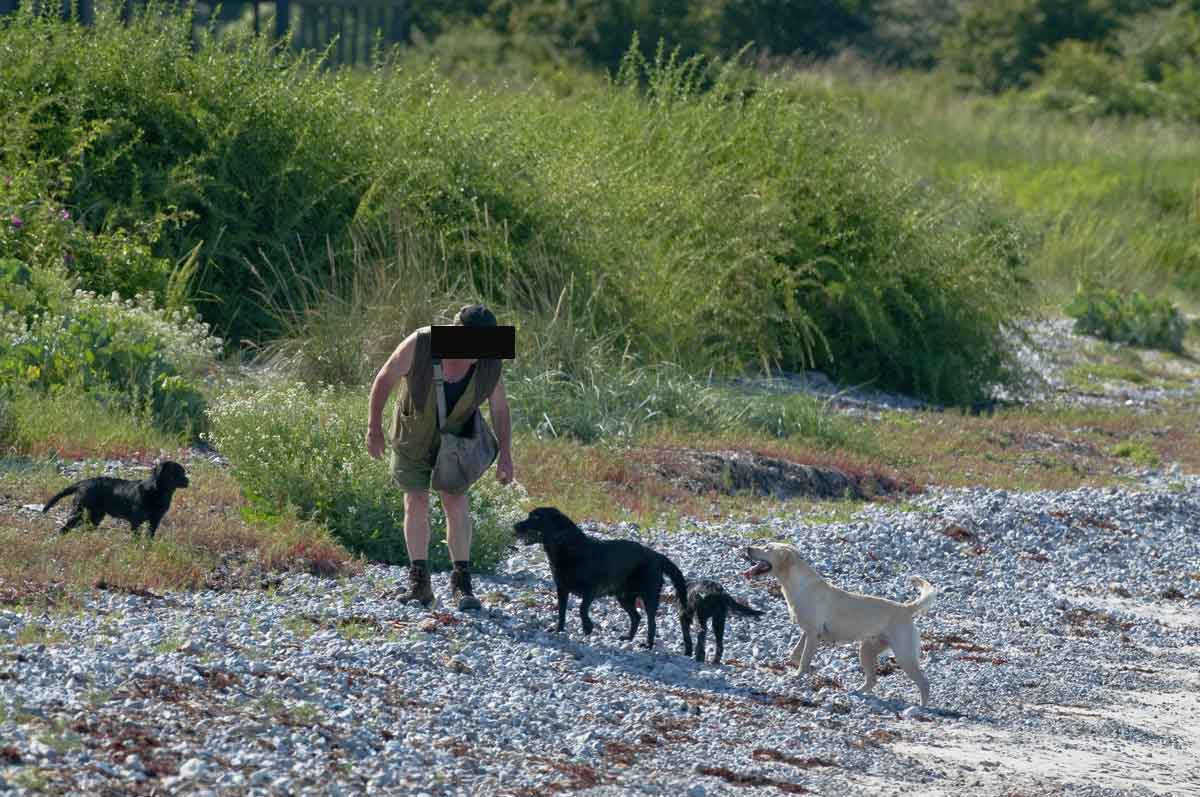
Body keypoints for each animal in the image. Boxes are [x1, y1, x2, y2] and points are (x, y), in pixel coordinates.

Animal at [41, 458, 189, 537]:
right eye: (177, 472)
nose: (188, 480)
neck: (158, 492)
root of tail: (82, 483)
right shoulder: (136, 520)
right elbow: (136, 536)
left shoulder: (155, 520)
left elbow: (149, 536)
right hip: (79, 511)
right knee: (64, 528)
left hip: (95, 516)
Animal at [511, 506, 691, 652]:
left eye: (536, 517)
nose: (515, 525)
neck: (566, 547)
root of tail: (657, 555)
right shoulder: (561, 589)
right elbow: (562, 612)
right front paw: (558, 630)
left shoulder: (590, 590)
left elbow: (582, 608)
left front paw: (587, 627)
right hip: (624, 596)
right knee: (636, 617)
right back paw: (628, 638)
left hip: (649, 595)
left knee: (651, 621)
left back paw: (648, 645)